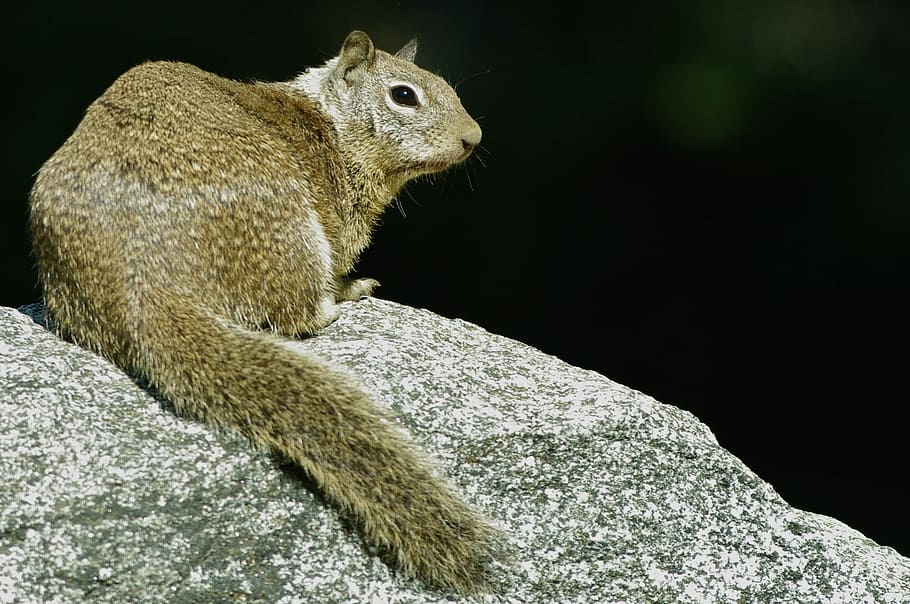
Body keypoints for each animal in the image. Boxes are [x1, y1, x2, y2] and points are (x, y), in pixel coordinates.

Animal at [28, 31, 496, 593]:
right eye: (404, 95)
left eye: (448, 86)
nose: (473, 137)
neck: (328, 121)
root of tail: (143, 280)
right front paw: (354, 282)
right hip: (295, 236)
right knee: (297, 315)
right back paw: (339, 302)